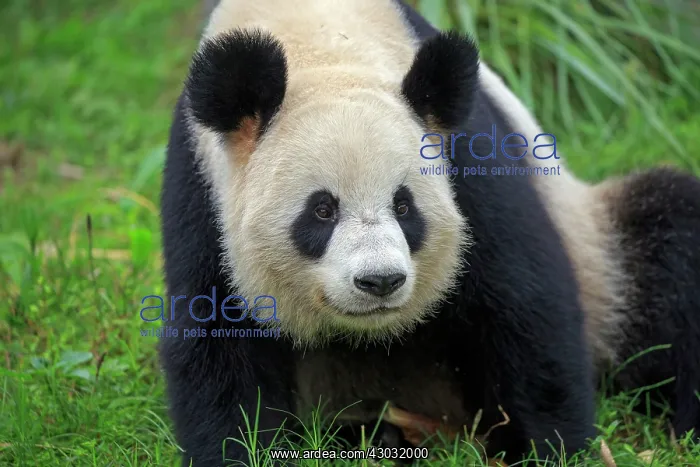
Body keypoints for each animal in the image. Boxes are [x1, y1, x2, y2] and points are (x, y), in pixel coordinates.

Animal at [159, 0, 700, 466]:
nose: (380, 282)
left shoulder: (467, 160)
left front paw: (548, 450)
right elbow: (217, 339)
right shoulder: (203, 190)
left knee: (670, 244)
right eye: (322, 211)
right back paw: (377, 437)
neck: (319, 45)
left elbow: (522, 304)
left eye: (404, 206)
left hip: (602, 256)